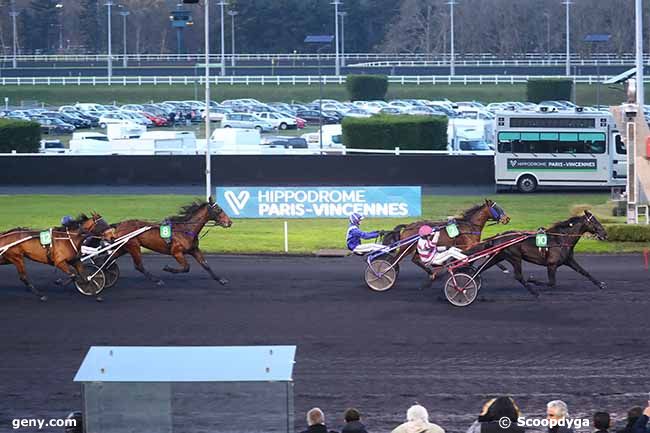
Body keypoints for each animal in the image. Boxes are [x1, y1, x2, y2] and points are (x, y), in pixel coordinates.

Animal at [380, 197, 512, 278]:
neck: (469, 226)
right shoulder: (469, 246)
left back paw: (431, 273)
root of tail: (408, 226)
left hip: (418, 247)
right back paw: (386, 271)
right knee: (395, 260)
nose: (507, 218)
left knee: (415, 259)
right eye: (497, 208)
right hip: (407, 247)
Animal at [466, 210, 608, 296]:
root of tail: (498, 236)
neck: (561, 238)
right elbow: (551, 283)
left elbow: (584, 272)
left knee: (479, 269)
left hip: (498, 257)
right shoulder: (552, 264)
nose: (605, 234)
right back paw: (534, 291)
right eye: (594, 221)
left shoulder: (569, 260)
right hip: (515, 257)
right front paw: (533, 280)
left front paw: (600, 284)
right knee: (518, 276)